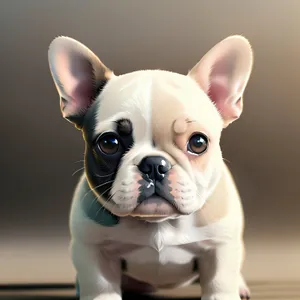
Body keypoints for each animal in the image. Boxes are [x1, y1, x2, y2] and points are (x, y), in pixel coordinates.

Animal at [48, 35, 253, 300]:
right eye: (109, 143)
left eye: (198, 143)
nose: (154, 165)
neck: (158, 223)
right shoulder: (93, 249)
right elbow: (100, 286)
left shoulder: (220, 246)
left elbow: (219, 282)